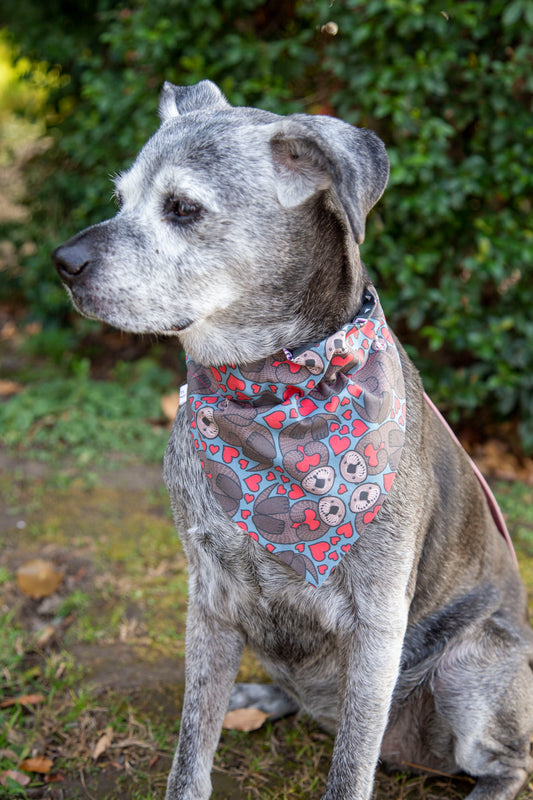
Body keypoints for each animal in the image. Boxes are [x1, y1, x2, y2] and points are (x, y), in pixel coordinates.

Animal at [54, 81, 532, 800]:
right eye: (120, 199)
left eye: (182, 208)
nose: (64, 263)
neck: (269, 391)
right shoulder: (208, 595)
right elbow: (191, 746)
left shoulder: (378, 621)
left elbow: (350, 765)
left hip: (471, 667)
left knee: (508, 761)